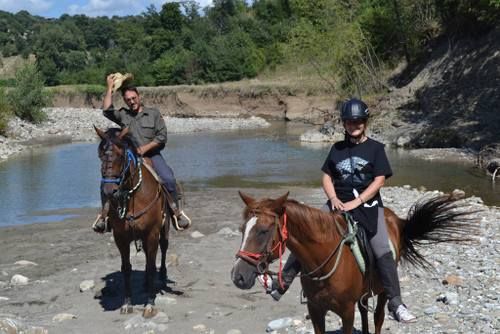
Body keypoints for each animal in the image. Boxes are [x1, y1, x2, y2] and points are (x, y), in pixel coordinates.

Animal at [95, 128, 170, 318]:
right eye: (100, 155)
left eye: (121, 155)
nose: (110, 191)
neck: (133, 197)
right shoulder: (120, 237)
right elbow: (126, 268)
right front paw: (126, 303)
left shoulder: (152, 233)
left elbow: (151, 267)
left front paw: (149, 304)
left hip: (164, 230)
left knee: (163, 249)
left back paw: (162, 275)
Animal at [230, 190, 476, 334]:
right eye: (242, 229)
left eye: (263, 231)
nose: (238, 276)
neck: (325, 260)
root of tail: (395, 219)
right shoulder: (315, 310)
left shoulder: (346, 313)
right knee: (365, 314)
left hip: (383, 291)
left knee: (377, 318)